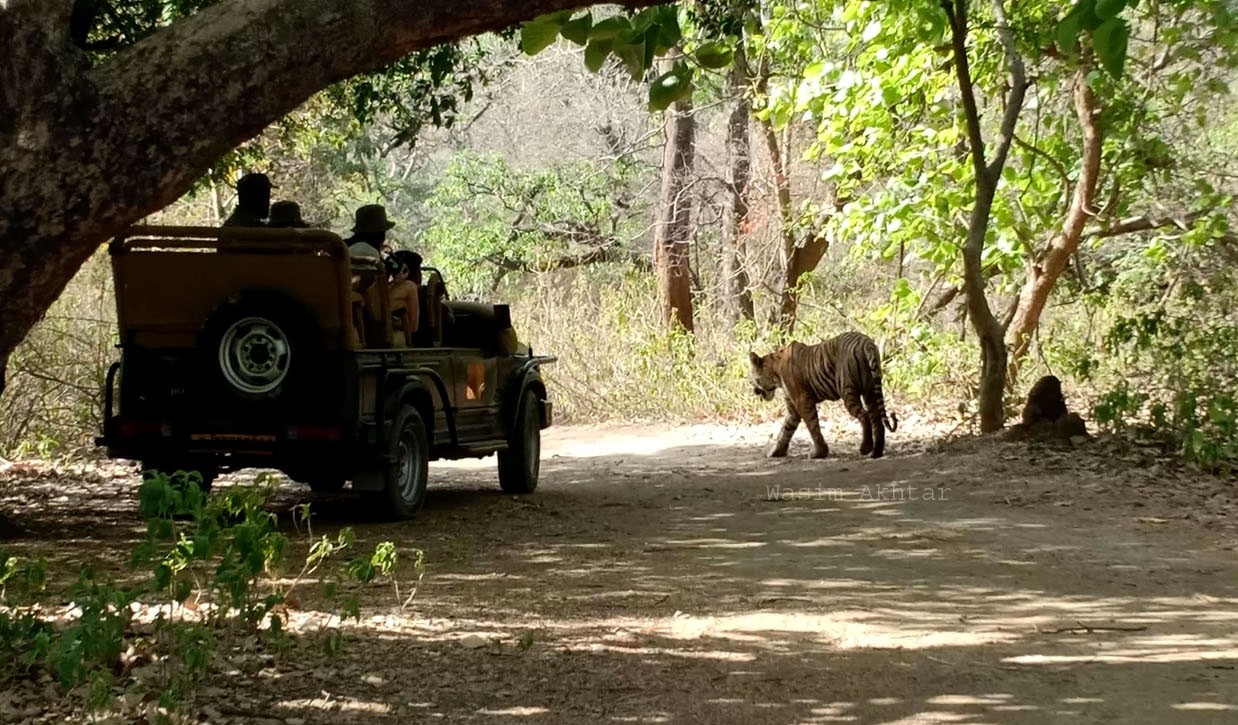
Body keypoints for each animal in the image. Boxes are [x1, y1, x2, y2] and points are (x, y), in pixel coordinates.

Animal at [748, 331, 898, 459]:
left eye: (754, 380)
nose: (754, 391)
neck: (775, 372)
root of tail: (866, 343)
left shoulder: (802, 401)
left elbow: (812, 426)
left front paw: (819, 453)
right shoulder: (793, 408)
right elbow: (786, 429)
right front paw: (775, 452)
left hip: (848, 390)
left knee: (864, 414)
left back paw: (866, 447)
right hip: (870, 391)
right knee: (877, 419)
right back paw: (876, 452)